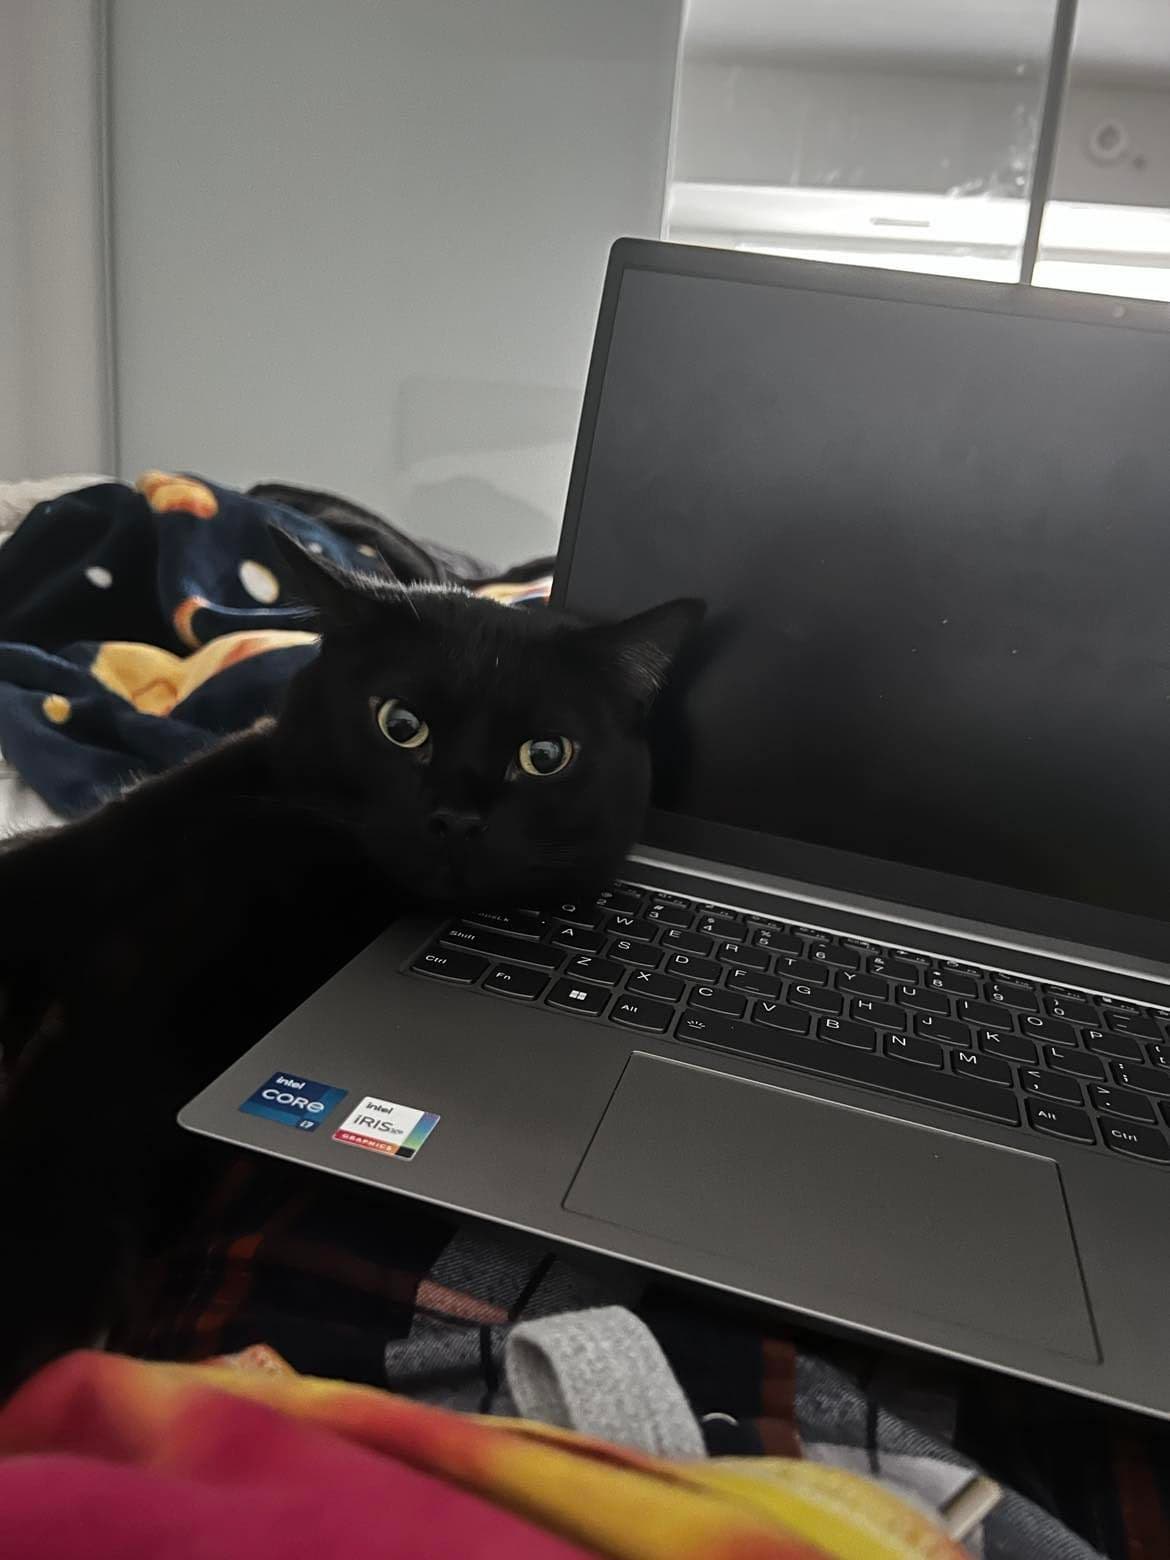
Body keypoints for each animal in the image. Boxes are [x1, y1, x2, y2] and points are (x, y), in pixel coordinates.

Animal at [0, 536, 702, 1404]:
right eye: (399, 725)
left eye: (546, 756)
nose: (456, 818)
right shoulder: (113, 842)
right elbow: (39, 864)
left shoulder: (165, 1007)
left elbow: (83, 1107)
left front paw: (30, 1311)